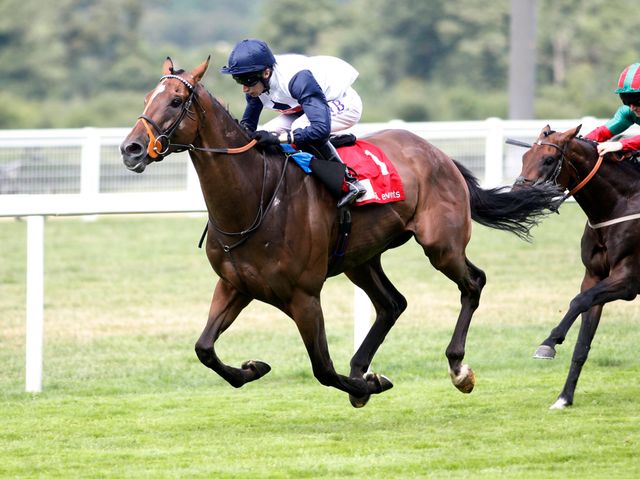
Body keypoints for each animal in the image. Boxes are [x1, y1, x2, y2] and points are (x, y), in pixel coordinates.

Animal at [120, 57, 560, 408]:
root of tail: (439, 153)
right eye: (144, 99)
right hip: (359, 258)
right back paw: (363, 365)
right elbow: (204, 349)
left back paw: (457, 368)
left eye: (175, 102)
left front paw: (369, 385)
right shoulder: (234, 285)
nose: (131, 149)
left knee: (473, 283)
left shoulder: (304, 296)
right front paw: (253, 367)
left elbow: (322, 369)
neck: (254, 198)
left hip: (441, 245)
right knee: (392, 304)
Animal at [516, 125, 640, 410]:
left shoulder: (628, 279)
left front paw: (549, 342)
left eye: (549, 159)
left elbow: (577, 301)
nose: (517, 194)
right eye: (525, 156)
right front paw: (564, 397)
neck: (618, 205)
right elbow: (583, 340)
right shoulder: (594, 277)